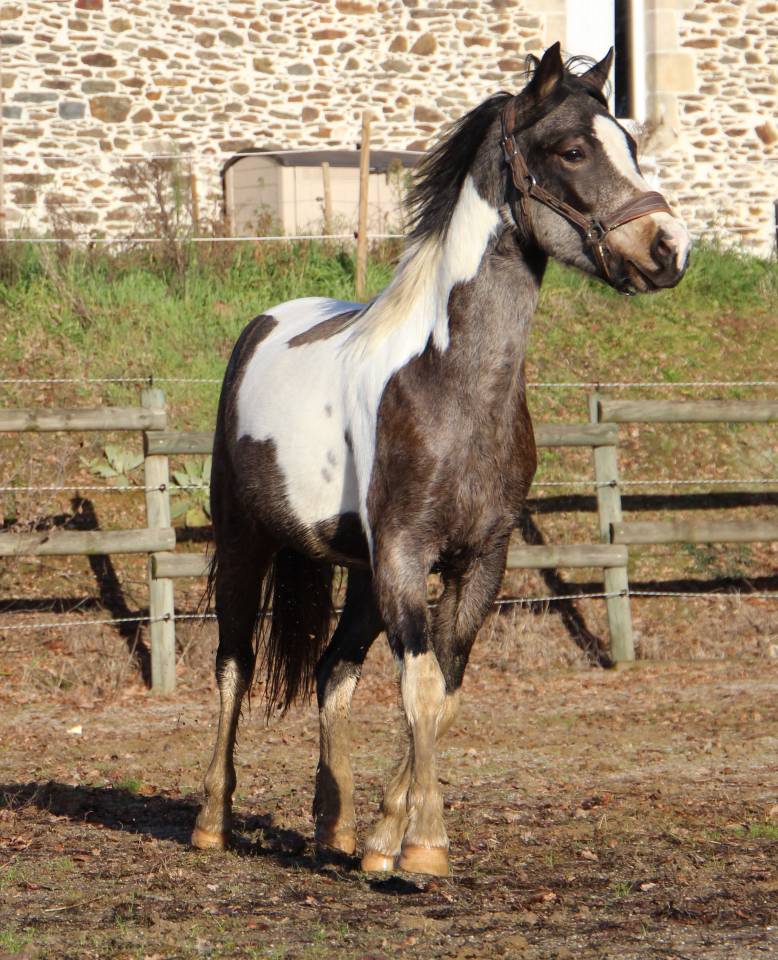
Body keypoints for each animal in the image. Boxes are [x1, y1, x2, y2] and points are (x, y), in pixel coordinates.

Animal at [191, 42, 690, 877]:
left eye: (630, 144)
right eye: (572, 149)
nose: (668, 249)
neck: (451, 386)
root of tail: (264, 325)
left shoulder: (479, 560)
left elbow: (447, 686)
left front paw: (384, 840)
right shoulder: (404, 554)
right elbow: (421, 684)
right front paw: (423, 848)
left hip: (356, 574)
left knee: (333, 671)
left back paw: (334, 830)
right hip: (245, 544)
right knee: (234, 664)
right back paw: (210, 821)